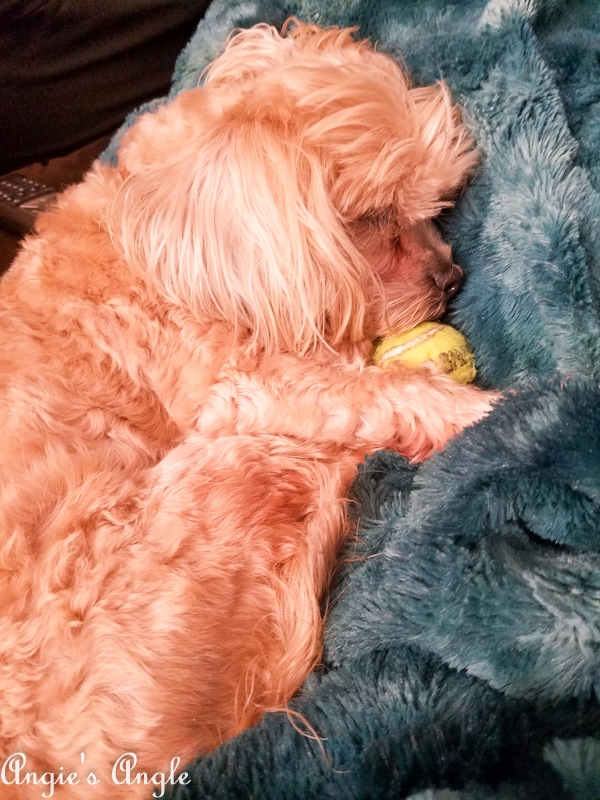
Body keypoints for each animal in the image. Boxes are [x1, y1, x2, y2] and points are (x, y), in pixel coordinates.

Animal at [0, 20, 494, 800]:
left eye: (434, 207)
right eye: (371, 219)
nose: (452, 276)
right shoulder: (248, 387)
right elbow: (379, 389)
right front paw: (487, 410)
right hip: (239, 462)